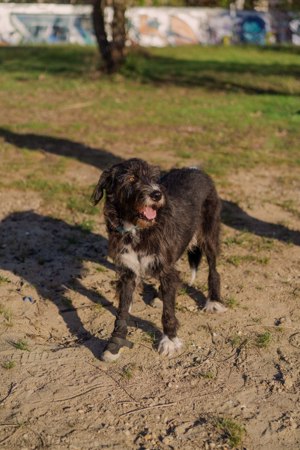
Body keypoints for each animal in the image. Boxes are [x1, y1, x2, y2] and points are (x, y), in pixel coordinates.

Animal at [92, 158, 226, 362]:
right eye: (131, 178)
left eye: (154, 178)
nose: (157, 194)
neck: (136, 230)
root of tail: (195, 169)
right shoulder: (128, 272)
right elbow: (122, 311)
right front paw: (115, 342)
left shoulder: (166, 269)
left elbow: (168, 313)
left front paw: (169, 340)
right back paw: (160, 296)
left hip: (208, 235)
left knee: (214, 270)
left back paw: (213, 301)